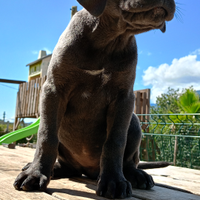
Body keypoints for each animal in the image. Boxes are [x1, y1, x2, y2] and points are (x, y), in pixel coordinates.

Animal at [13, 0, 175, 198]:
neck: (109, 38)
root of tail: (88, 170)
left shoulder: (123, 98)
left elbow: (115, 141)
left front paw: (114, 181)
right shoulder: (54, 90)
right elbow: (47, 135)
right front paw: (35, 173)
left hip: (134, 122)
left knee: (129, 162)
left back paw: (136, 175)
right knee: (67, 166)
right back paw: (52, 169)